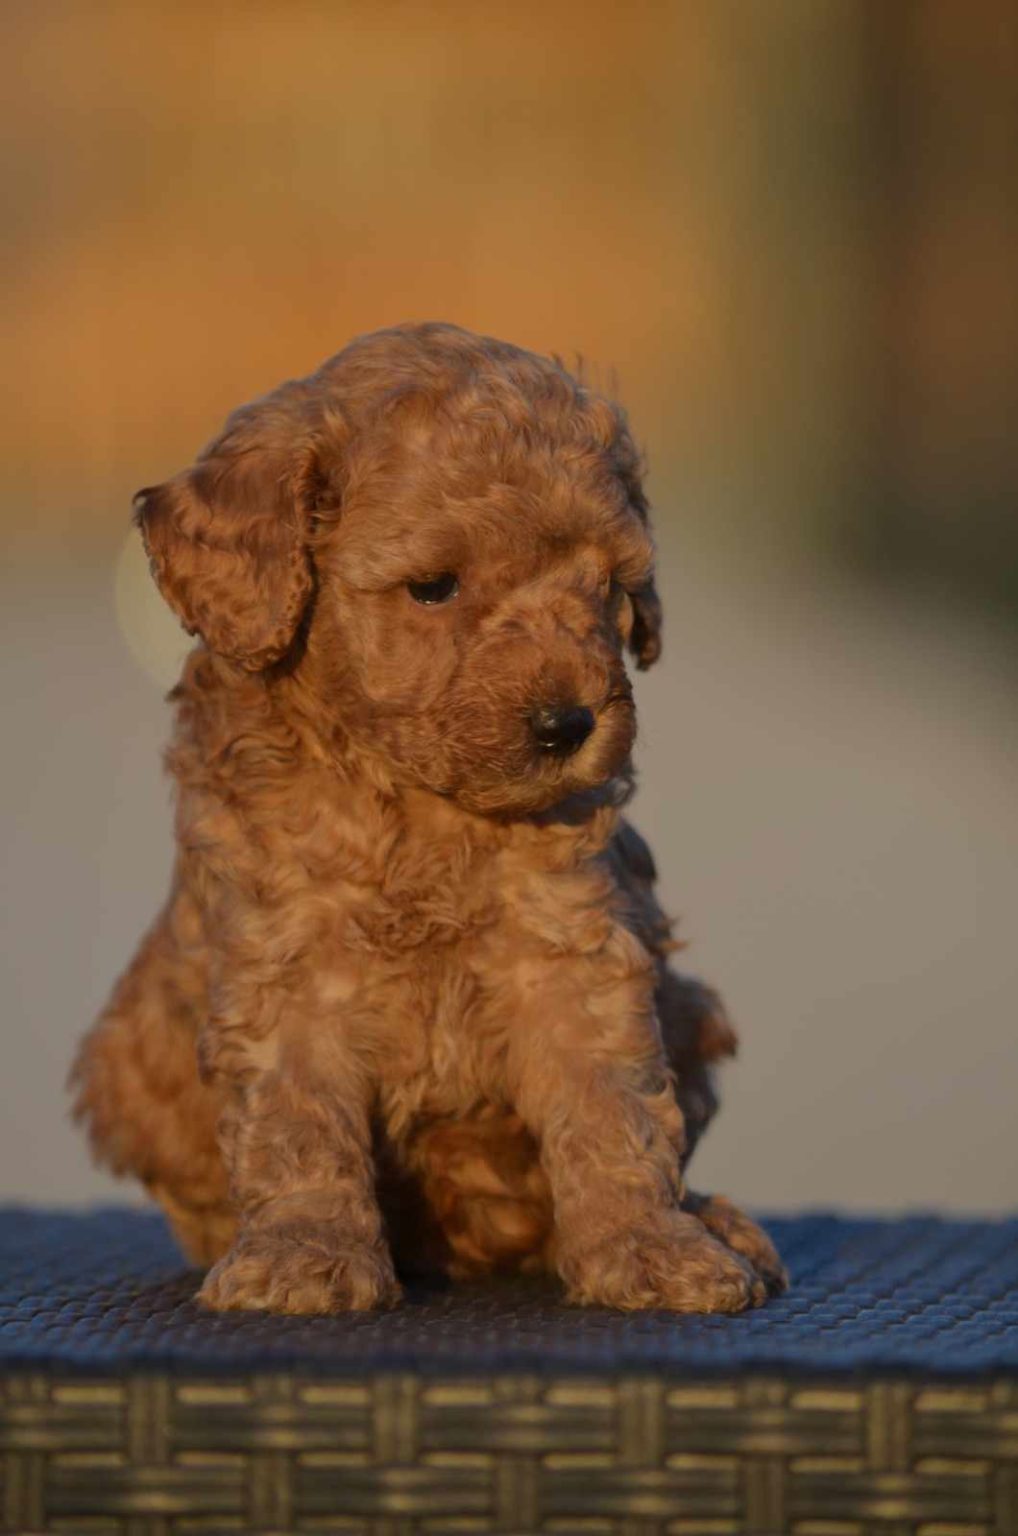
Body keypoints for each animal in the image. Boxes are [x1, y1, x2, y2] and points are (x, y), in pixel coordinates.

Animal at [73, 321, 786, 1308]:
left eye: (608, 584)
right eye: (434, 587)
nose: (570, 723)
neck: (416, 804)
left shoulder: (569, 947)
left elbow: (613, 1107)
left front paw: (648, 1245)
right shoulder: (287, 962)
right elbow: (297, 1122)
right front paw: (303, 1253)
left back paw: (711, 1217)